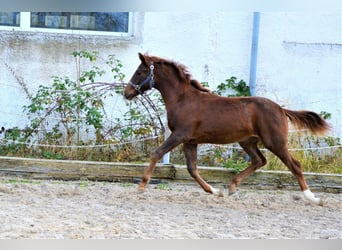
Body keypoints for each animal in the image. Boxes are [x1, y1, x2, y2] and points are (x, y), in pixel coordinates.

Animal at [124, 53, 330, 205]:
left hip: (275, 142)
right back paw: (231, 187)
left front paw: (141, 186)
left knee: (294, 165)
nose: (127, 93)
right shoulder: (190, 141)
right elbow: (192, 169)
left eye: (141, 71)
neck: (183, 100)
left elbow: (157, 153)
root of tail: (281, 109)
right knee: (259, 160)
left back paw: (312, 197)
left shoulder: (180, 135)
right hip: (248, 141)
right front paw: (215, 191)